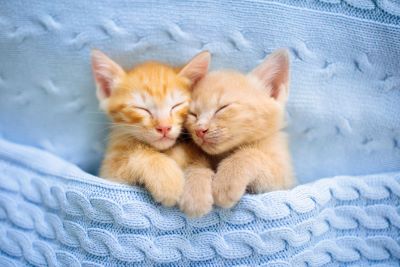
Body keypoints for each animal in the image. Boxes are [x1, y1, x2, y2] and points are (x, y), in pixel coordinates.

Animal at [90, 50, 209, 209]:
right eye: (142, 109)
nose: (164, 127)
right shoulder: (109, 173)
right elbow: (137, 154)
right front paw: (167, 180)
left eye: (176, 105)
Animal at [184, 49, 294, 210]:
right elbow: (194, 161)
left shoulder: (284, 180)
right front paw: (195, 189)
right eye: (193, 114)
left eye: (222, 108)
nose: (200, 130)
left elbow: (249, 154)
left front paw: (226, 181)